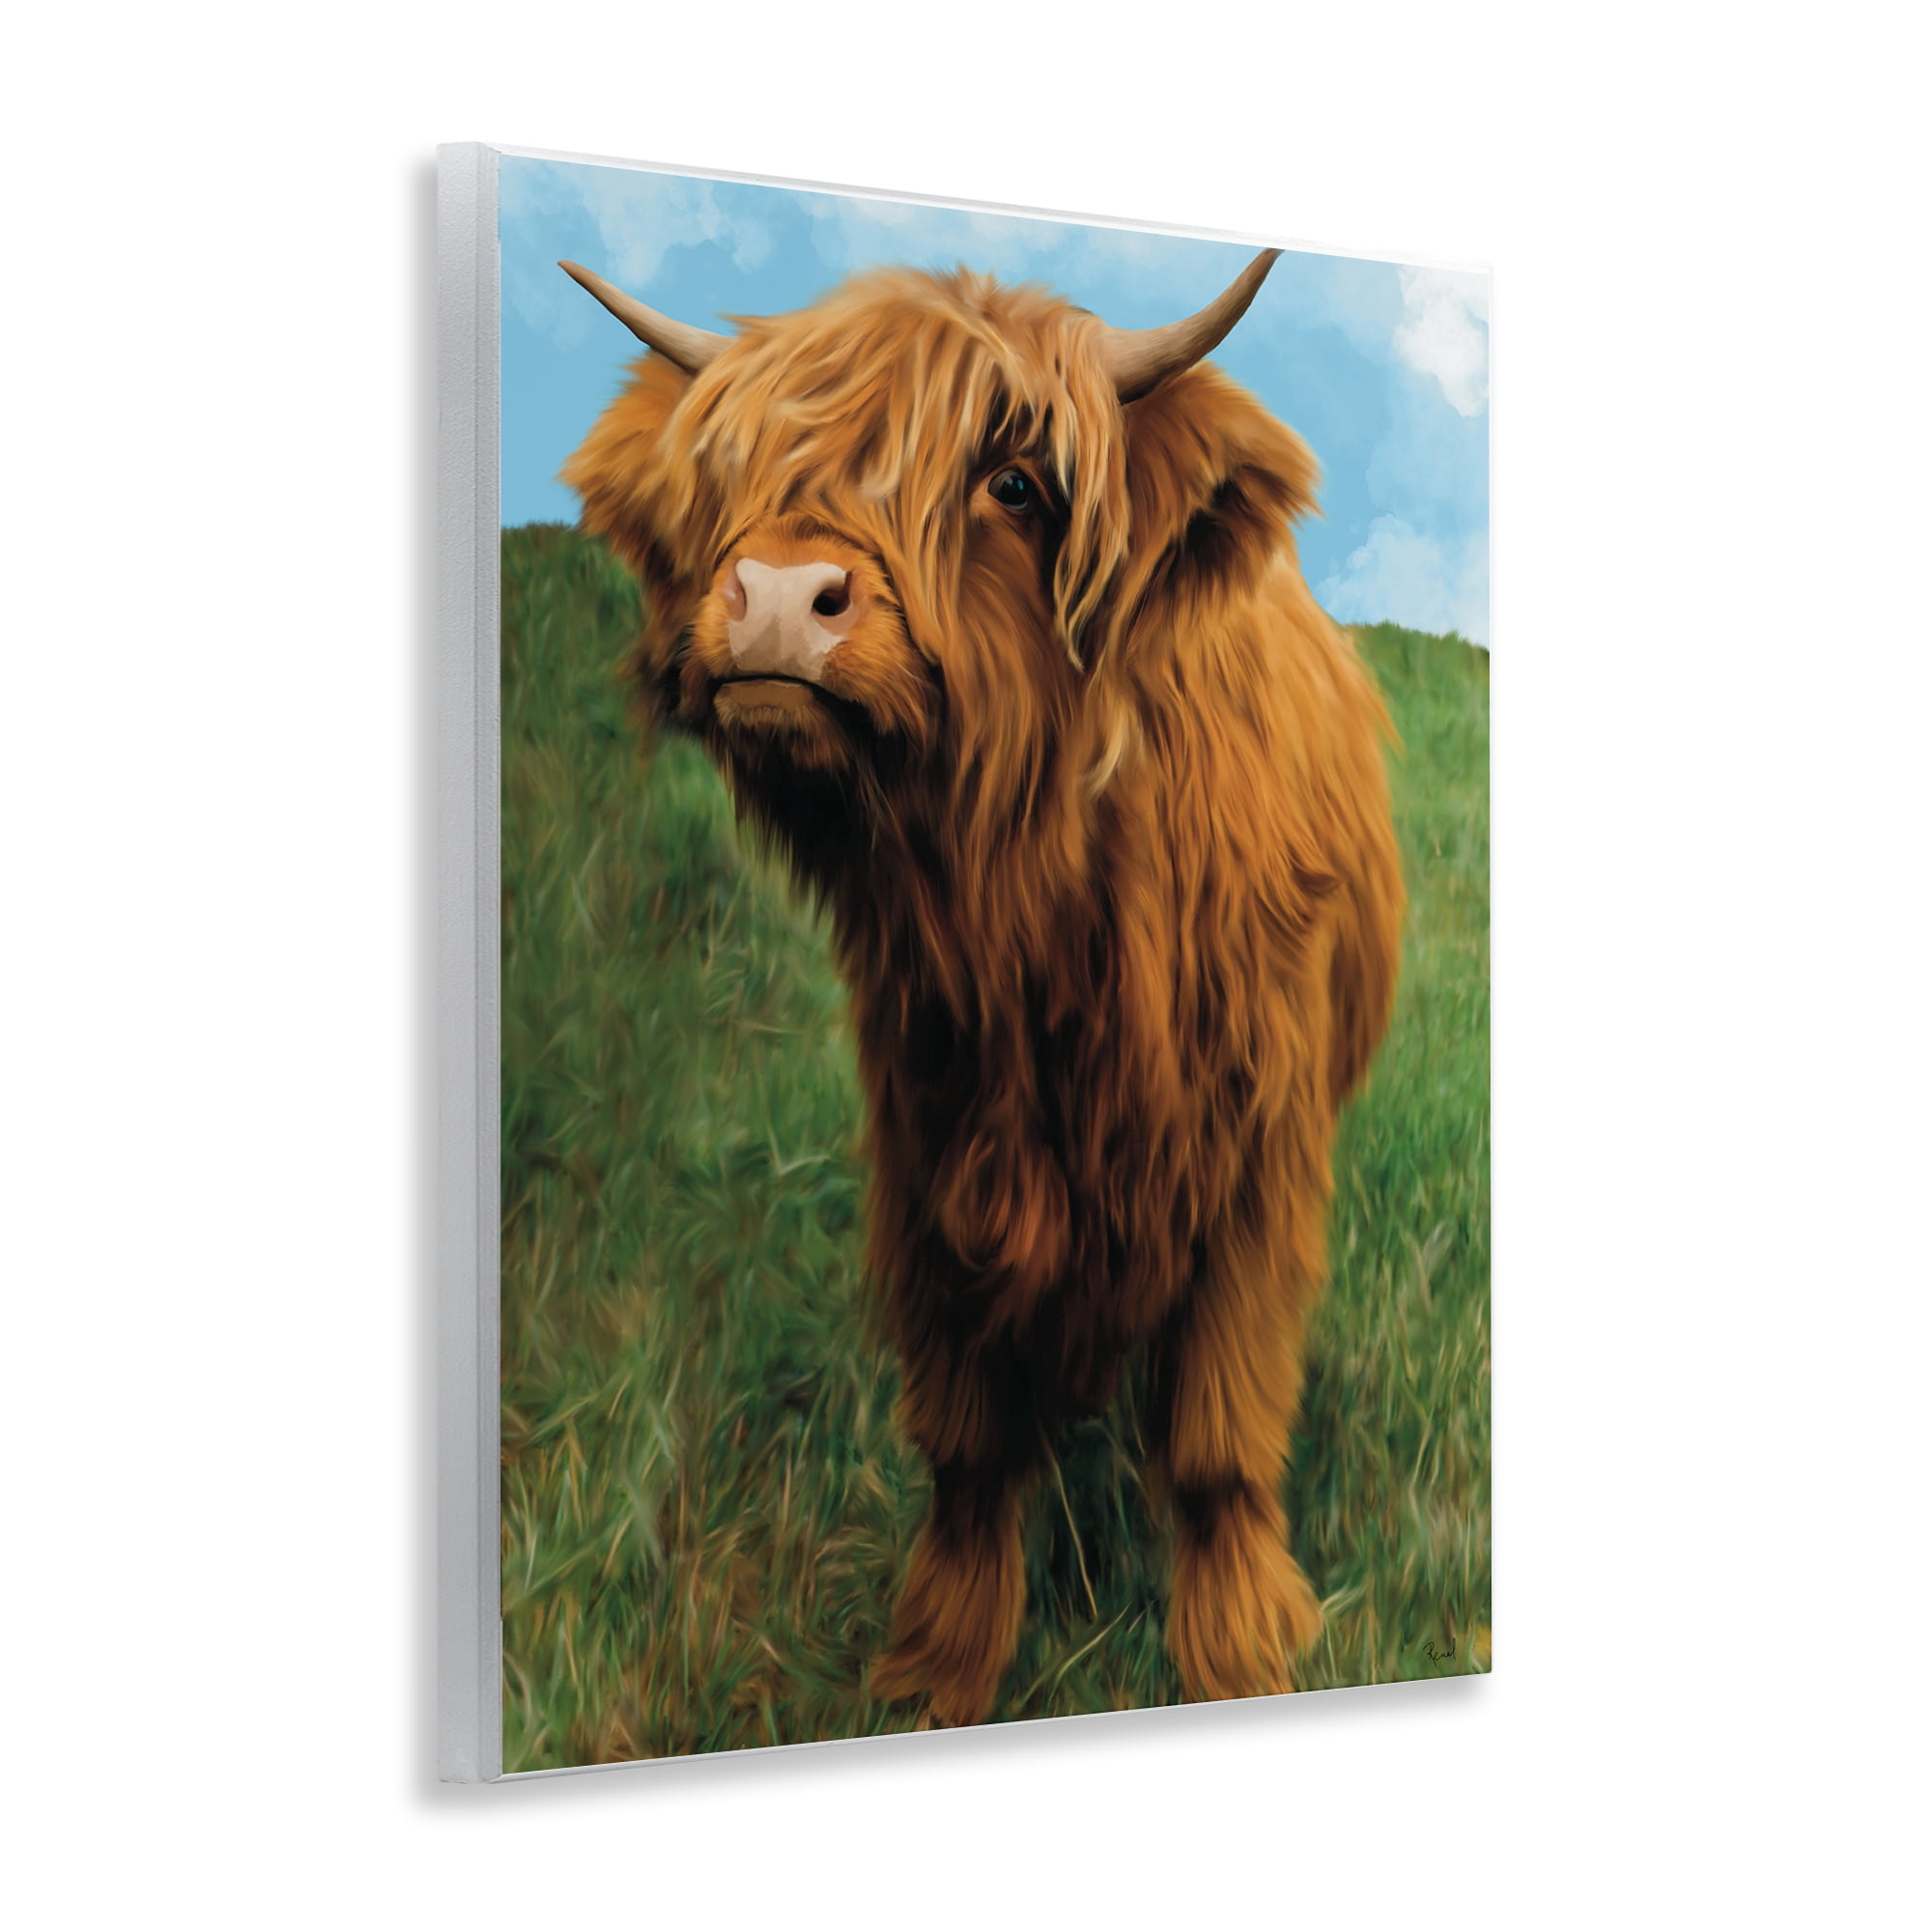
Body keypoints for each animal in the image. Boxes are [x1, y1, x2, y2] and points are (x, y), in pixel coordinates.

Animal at [560, 246, 1404, 1726]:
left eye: (1011, 484)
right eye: (734, 467)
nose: (778, 596)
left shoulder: (1259, 1156)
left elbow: (1217, 1429)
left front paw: (1241, 1648)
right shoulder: (928, 1132)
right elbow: (964, 1435)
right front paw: (937, 1665)